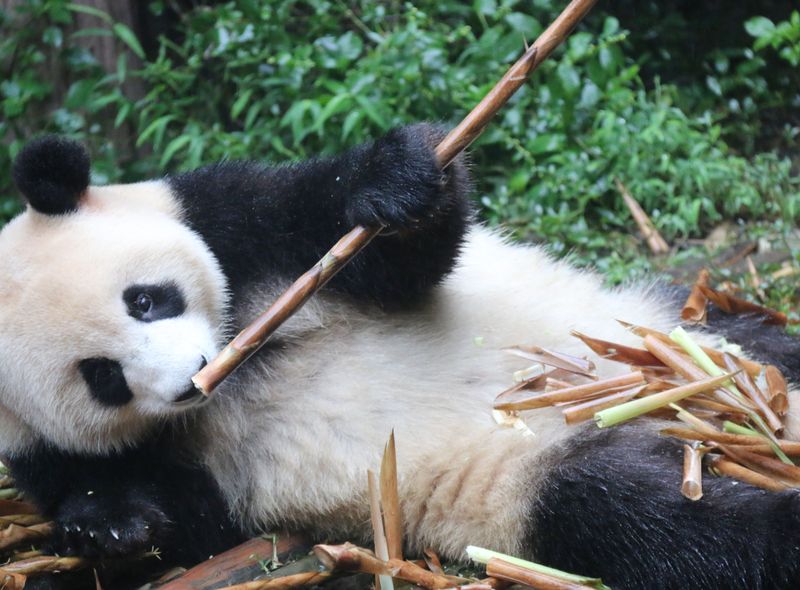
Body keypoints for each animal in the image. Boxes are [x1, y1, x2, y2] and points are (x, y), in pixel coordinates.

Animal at [1, 126, 800, 590]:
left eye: (145, 300)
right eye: (102, 378)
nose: (192, 382)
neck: (244, 358)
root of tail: (663, 418)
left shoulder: (229, 220)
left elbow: (384, 249)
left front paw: (392, 183)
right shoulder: (67, 450)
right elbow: (180, 516)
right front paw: (108, 526)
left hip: (666, 328)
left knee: (759, 349)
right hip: (529, 477)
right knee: (647, 518)